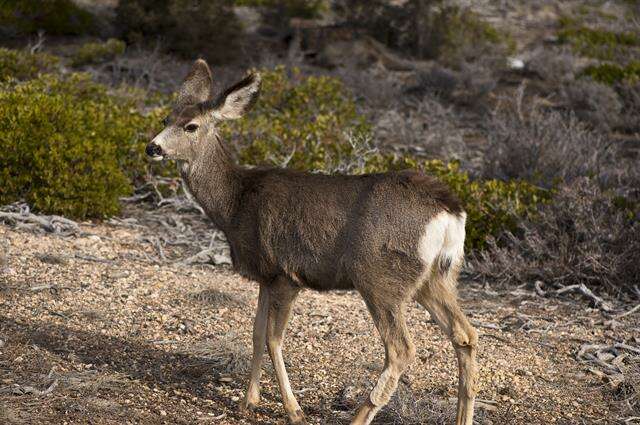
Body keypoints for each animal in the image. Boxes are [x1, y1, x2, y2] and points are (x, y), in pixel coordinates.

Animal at [144, 59, 476, 424]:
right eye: (165, 118)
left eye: (190, 126)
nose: (152, 147)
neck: (235, 203)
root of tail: (450, 212)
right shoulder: (266, 275)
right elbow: (256, 334)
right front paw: (248, 402)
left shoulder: (287, 274)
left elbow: (273, 339)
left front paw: (293, 409)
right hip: (437, 276)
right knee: (465, 335)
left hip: (381, 276)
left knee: (401, 349)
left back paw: (359, 416)